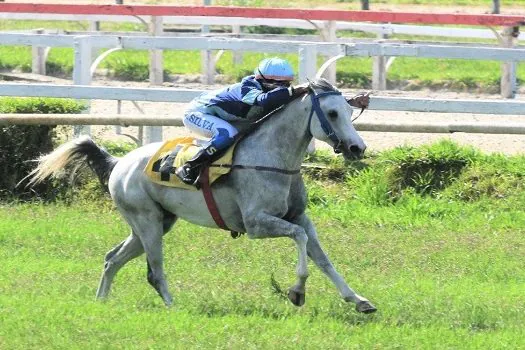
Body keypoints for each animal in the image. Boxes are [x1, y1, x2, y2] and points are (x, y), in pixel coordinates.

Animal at [27, 79, 376, 314]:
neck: (272, 157)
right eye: (332, 113)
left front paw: (358, 300)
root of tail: (118, 162)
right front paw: (296, 291)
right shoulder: (257, 224)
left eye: (349, 110)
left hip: (154, 223)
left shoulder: (298, 216)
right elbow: (301, 242)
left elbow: (322, 257)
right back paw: (172, 306)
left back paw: (101, 301)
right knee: (155, 270)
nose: (358, 148)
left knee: (112, 258)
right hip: (147, 221)